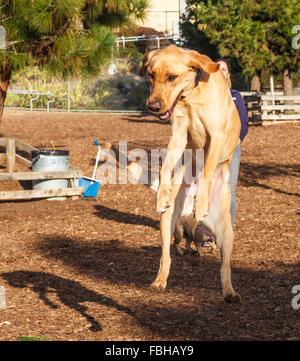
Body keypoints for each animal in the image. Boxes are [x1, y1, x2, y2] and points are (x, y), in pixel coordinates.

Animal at [141, 45, 241, 304]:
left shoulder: (216, 136)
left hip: (226, 233)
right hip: (168, 223)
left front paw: (202, 202)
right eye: (151, 76)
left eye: (172, 77)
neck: (192, 95)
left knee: (224, 266)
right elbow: (165, 167)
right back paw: (159, 281)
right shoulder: (178, 134)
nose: (153, 106)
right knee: (166, 255)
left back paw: (229, 292)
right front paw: (162, 194)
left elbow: (206, 171)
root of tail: (192, 220)